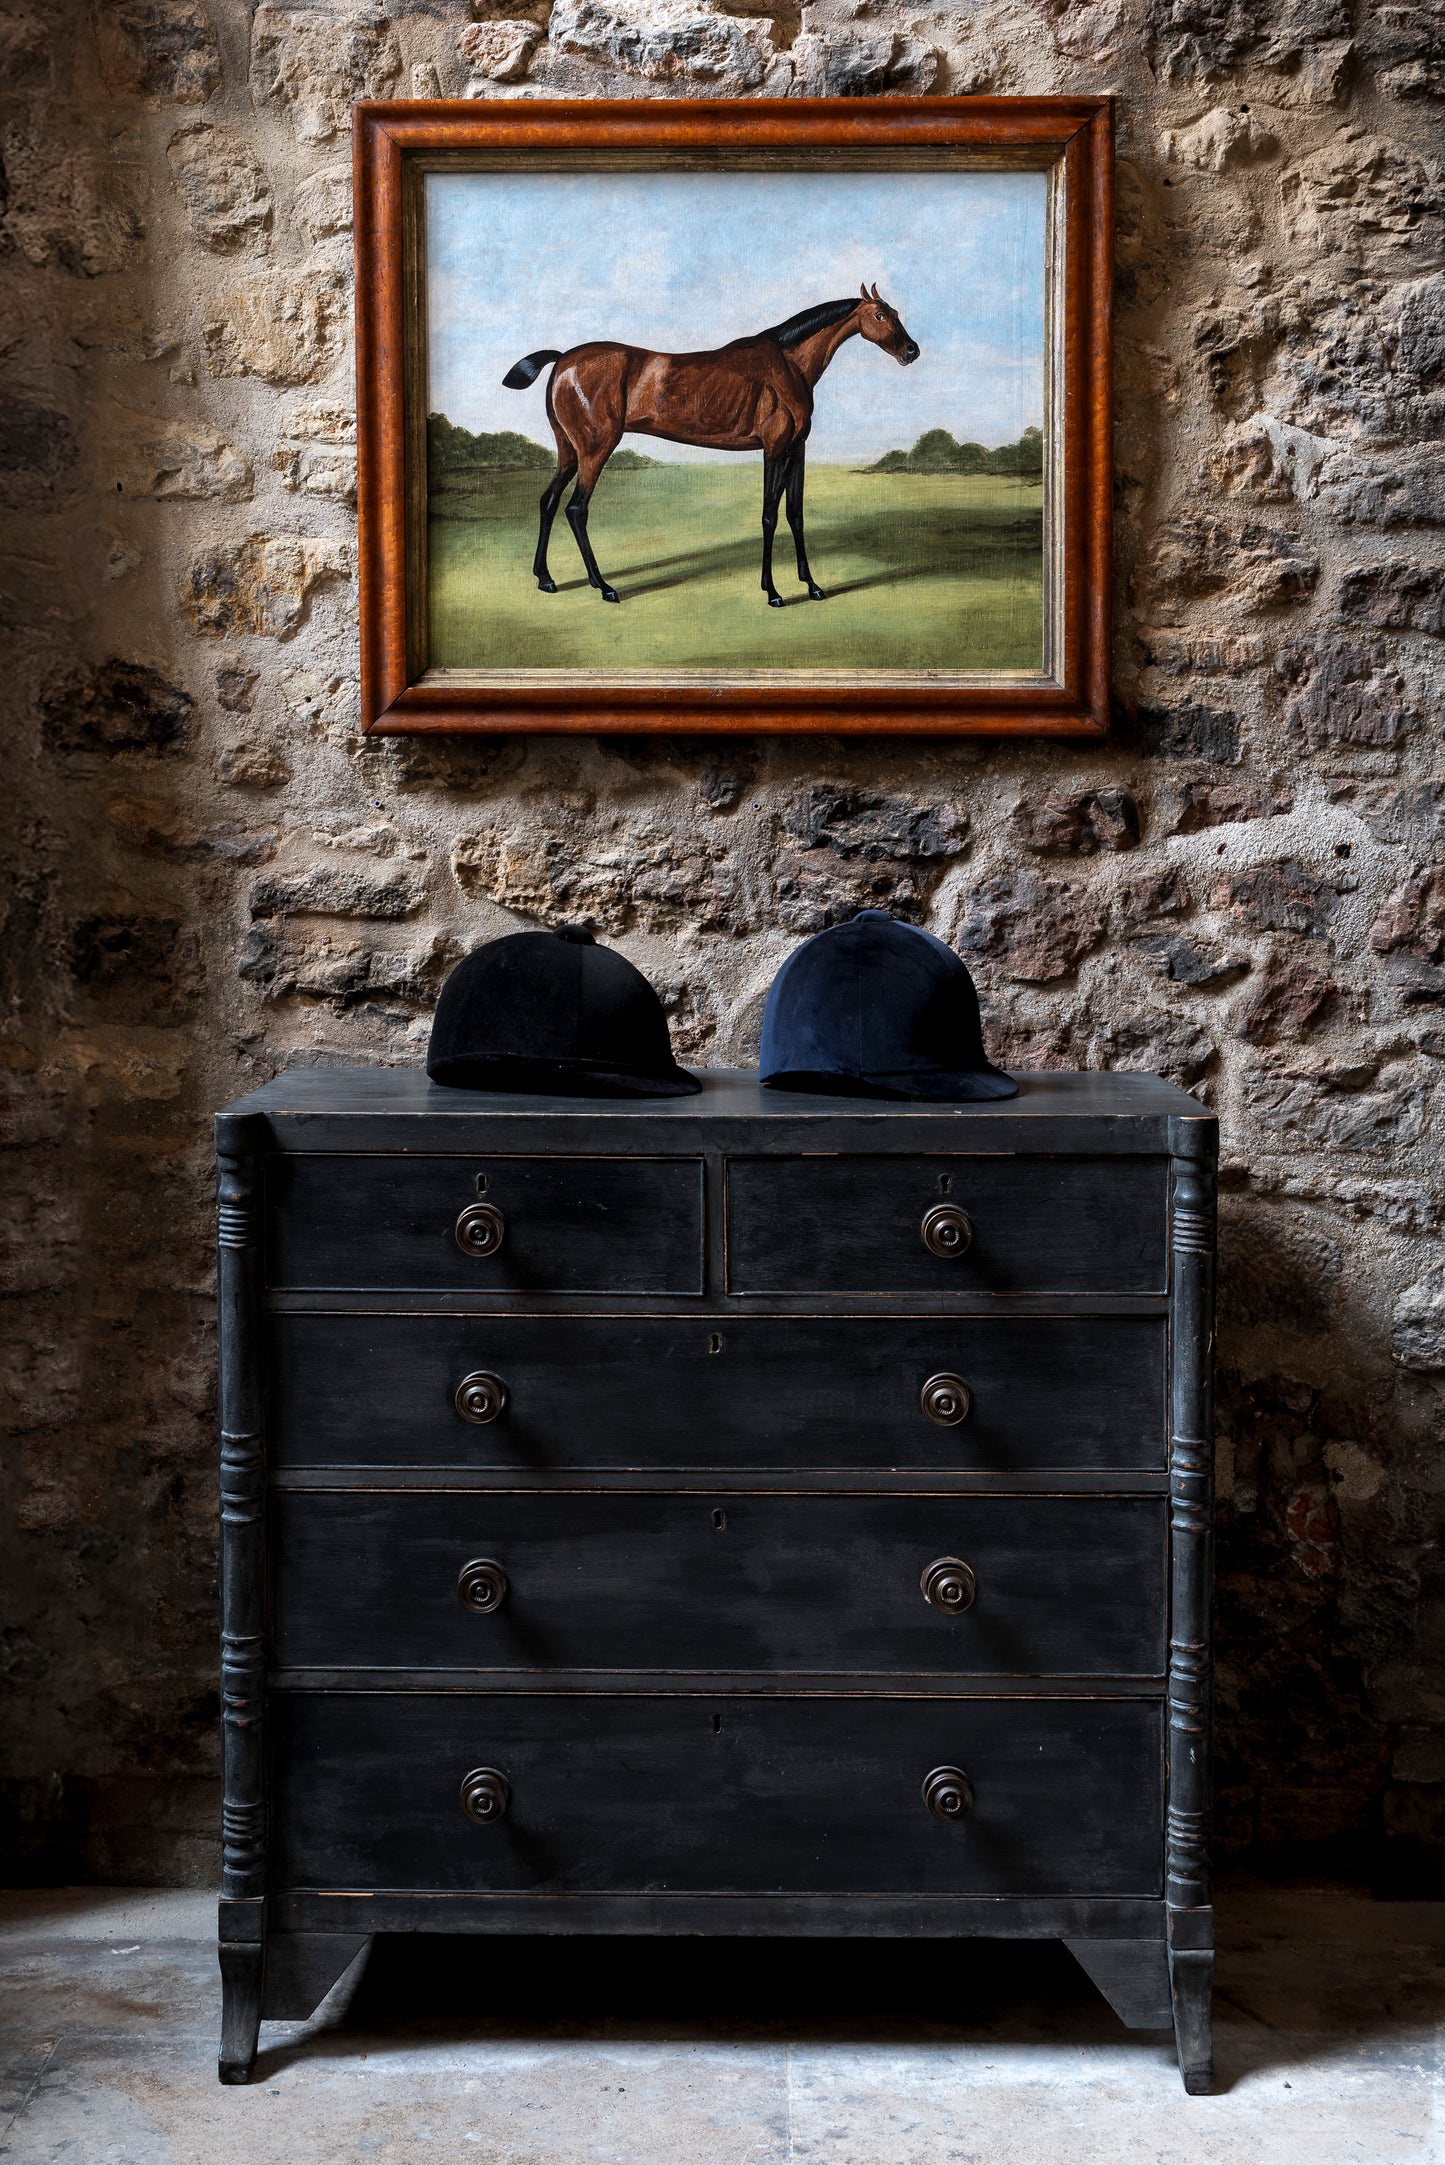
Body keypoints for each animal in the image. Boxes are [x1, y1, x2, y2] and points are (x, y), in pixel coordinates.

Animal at [502, 287, 922, 606]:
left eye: (895, 312)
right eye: (880, 315)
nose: (911, 351)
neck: (788, 365)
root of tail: (562, 361)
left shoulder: (796, 450)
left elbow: (795, 514)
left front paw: (813, 585)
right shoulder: (774, 449)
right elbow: (769, 515)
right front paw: (773, 592)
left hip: (569, 451)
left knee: (548, 501)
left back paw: (546, 578)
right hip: (595, 449)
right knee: (576, 508)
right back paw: (604, 587)